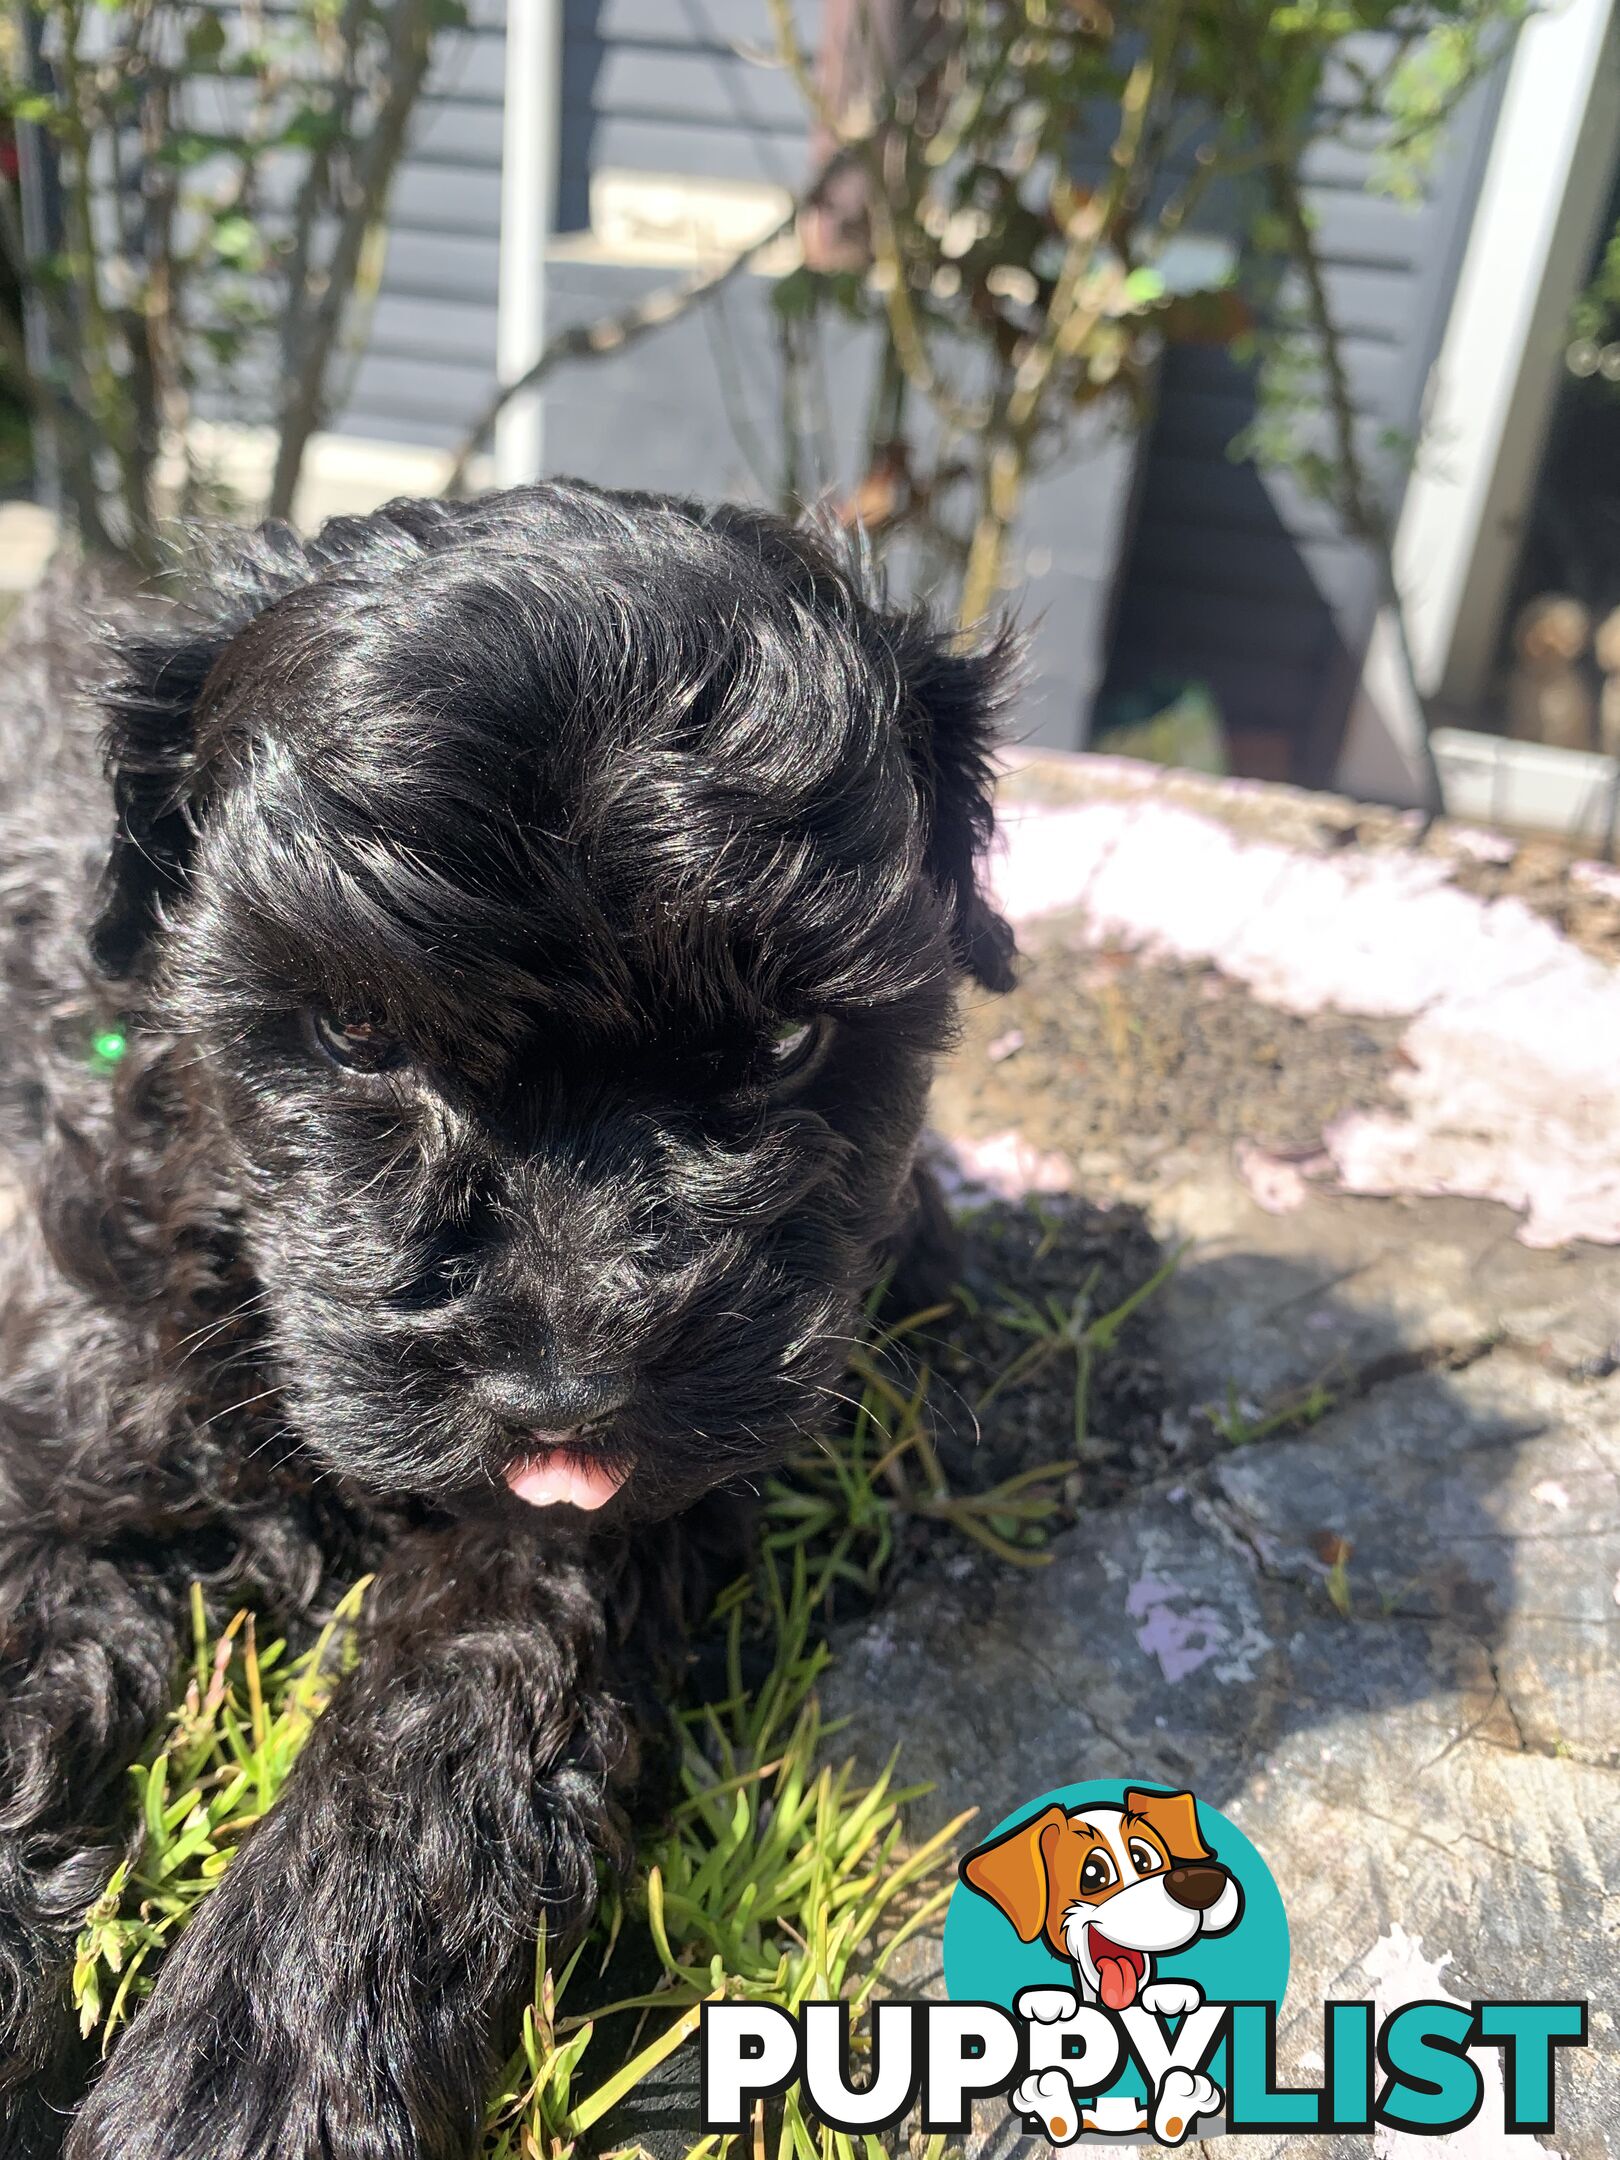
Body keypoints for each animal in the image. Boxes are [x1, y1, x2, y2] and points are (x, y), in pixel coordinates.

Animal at [0, 490, 1015, 2160]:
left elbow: (449, 1715)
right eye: (355, 1033)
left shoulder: (585, 1531)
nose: (566, 1388)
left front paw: (255, 2070)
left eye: (791, 1041)